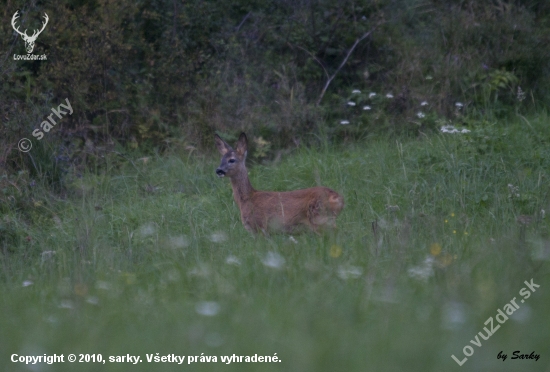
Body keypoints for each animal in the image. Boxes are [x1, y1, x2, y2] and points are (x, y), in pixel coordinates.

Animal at [216, 132, 344, 234]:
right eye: (221, 160)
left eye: (232, 160)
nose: (218, 170)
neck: (246, 199)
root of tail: (338, 198)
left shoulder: (259, 227)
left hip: (320, 218)